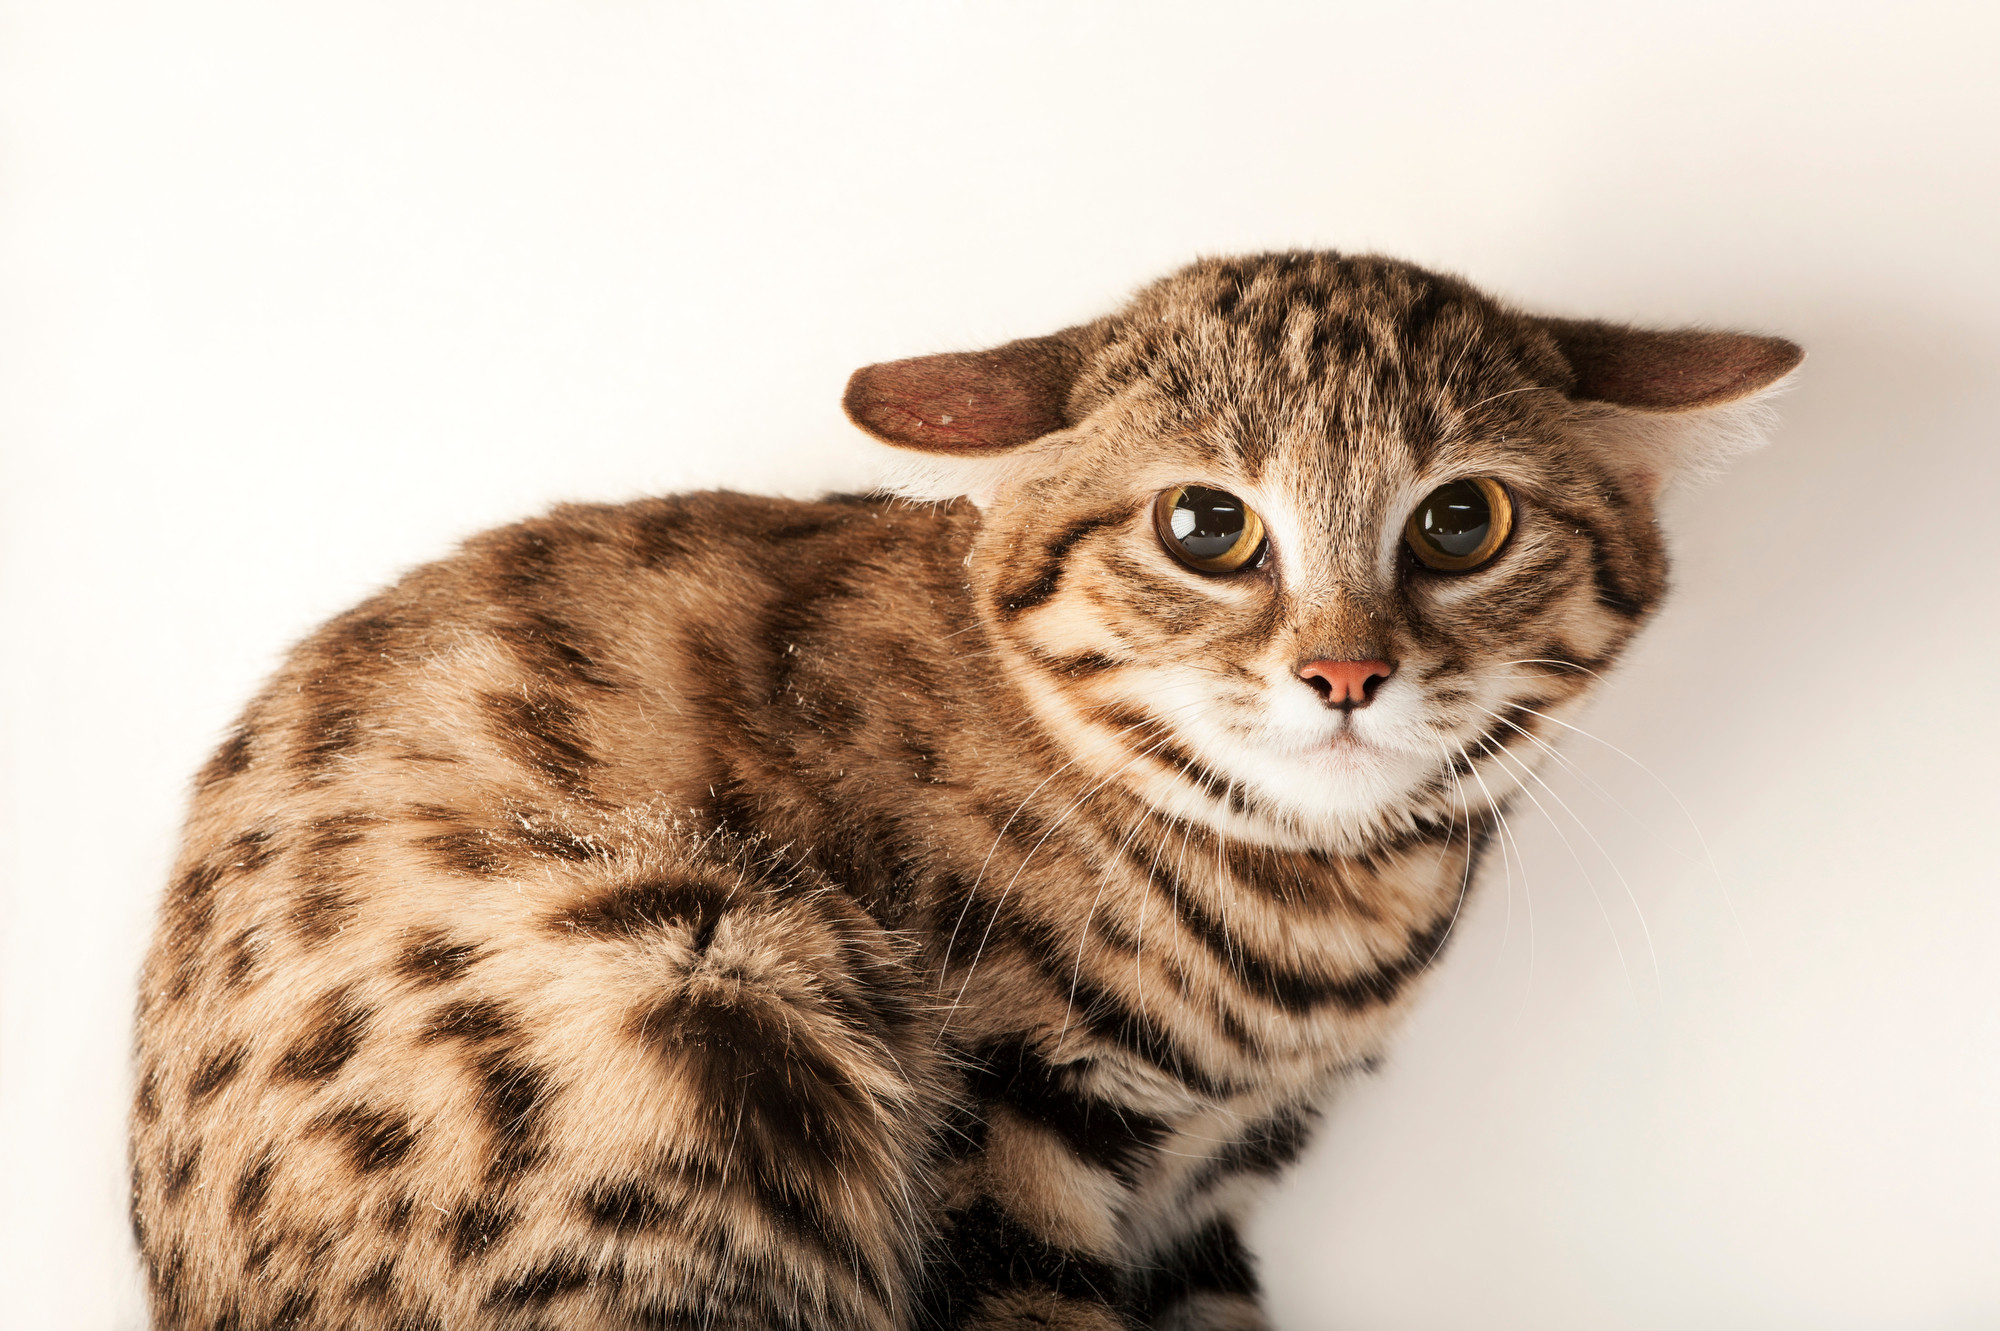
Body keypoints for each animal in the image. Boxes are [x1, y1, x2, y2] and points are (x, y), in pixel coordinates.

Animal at [129, 250, 1800, 1330]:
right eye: (1208, 526)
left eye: (1462, 521)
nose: (1344, 671)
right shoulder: (1007, 1131)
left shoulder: (1201, 1191)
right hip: (684, 987)